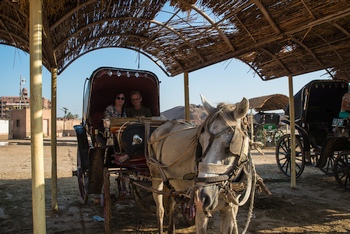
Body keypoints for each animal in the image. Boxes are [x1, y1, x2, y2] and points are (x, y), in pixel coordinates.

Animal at [146, 95, 256, 234]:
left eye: (229, 145)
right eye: (201, 142)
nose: (202, 197)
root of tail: (164, 125)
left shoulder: (230, 210)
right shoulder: (201, 213)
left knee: (172, 203)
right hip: (156, 177)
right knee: (160, 210)